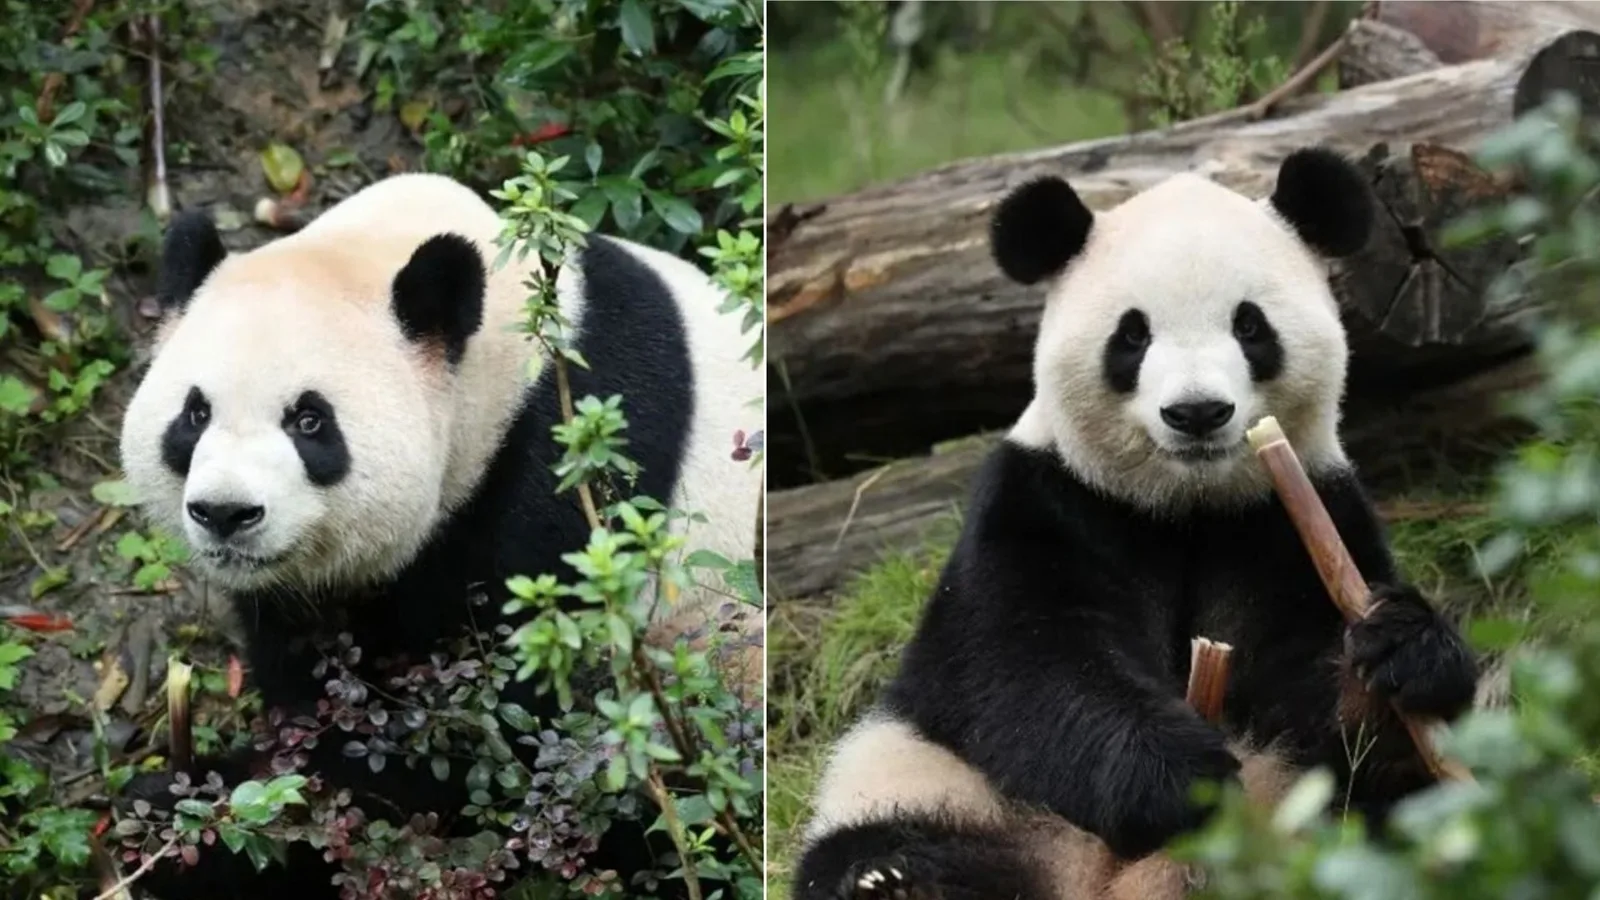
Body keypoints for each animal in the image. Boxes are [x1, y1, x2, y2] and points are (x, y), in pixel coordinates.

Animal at [112, 172, 763, 899]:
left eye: (310, 421)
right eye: (195, 414)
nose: (225, 513)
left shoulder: (572, 474)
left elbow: (485, 737)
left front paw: (205, 825)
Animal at [791, 148, 1481, 900]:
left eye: (1250, 326)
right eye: (1132, 334)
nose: (1197, 413)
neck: (1185, 507)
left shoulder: (1295, 517)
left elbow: (1321, 700)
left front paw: (1401, 648)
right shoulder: (1044, 502)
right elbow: (1028, 662)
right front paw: (1176, 777)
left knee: (1396, 818)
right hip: (924, 775)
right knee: (880, 840)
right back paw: (893, 879)